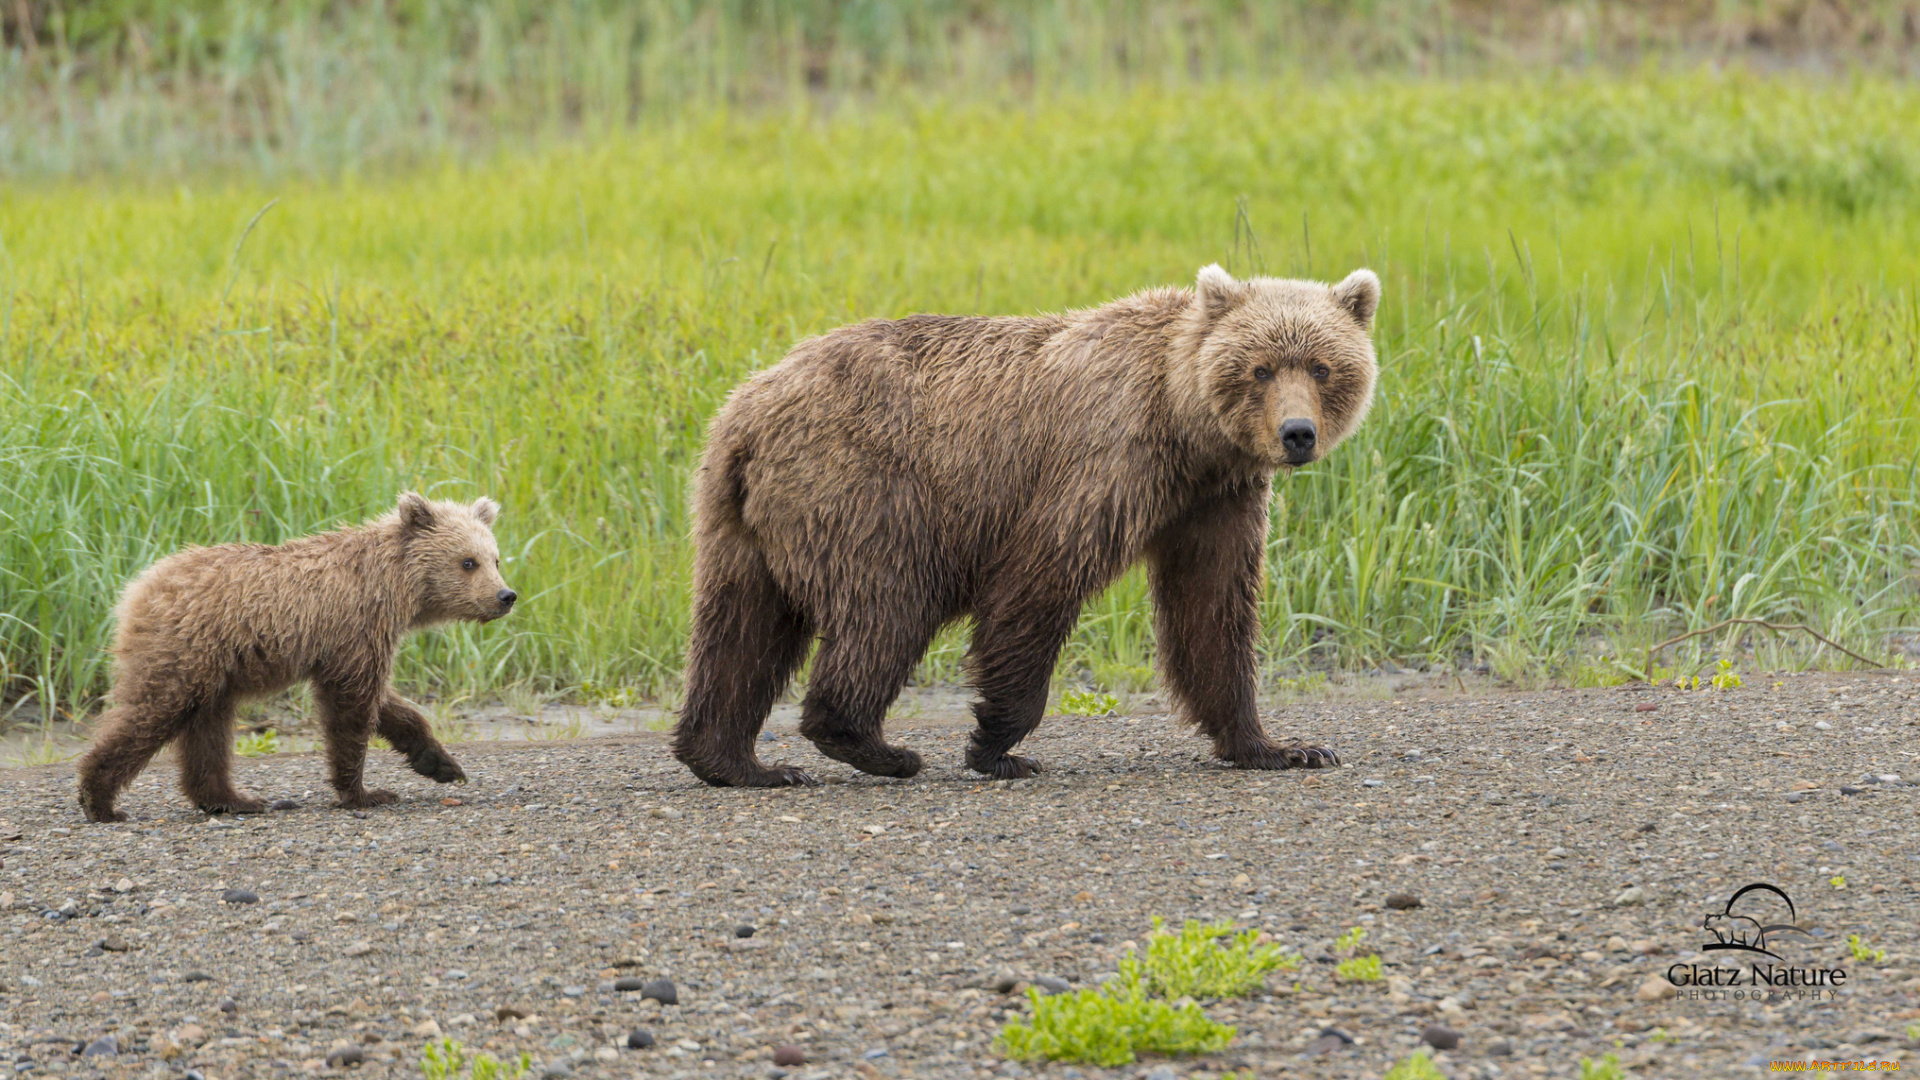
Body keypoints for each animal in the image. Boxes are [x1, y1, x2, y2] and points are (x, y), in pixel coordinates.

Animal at [675, 261, 1382, 780]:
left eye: (1322, 366)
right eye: (1261, 368)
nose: (1297, 433)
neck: (1184, 425)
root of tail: (747, 414)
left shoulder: (1214, 499)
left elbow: (1212, 611)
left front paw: (1282, 746)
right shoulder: (1107, 457)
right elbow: (1039, 579)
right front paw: (999, 746)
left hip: (736, 518)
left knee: (739, 628)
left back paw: (737, 761)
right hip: (867, 489)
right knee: (888, 604)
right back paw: (877, 747)